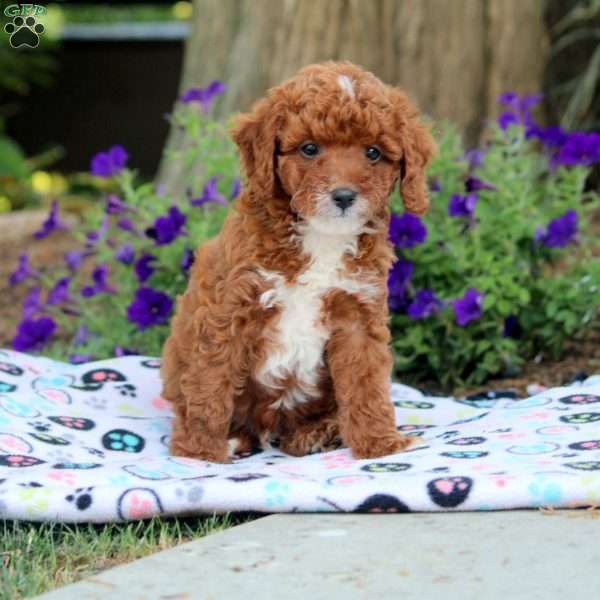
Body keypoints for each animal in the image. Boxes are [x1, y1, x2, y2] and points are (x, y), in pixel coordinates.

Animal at [161, 62, 436, 464]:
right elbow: (210, 380)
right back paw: (237, 439)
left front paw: (379, 443)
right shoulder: (231, 308)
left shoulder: (358, 311)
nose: (344, 196)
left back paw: (319, 433)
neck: (320, 236)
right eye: (309, 148)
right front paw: (199, 452)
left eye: (372, 152)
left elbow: (366, 382)